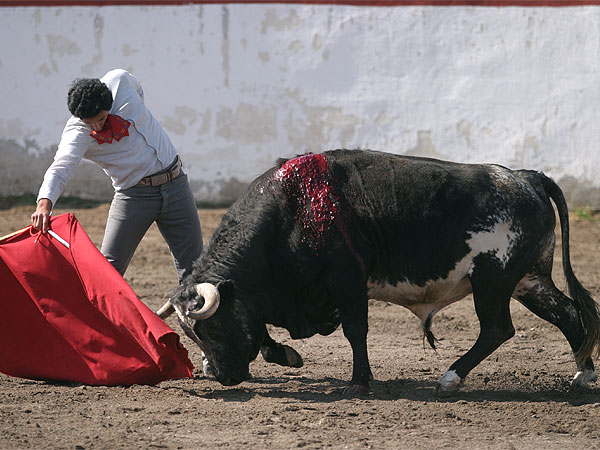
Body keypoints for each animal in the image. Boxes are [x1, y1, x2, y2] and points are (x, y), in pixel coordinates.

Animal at [157, 150, 596, 394]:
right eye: (190, 333)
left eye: (212, 326)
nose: (223, 377)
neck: (292, 214)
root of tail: (525, 177)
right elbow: (262, 334)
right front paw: (287, 355)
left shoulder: (348, 283)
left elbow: (356, 332)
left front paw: (359, 381)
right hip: (529, 280)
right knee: (567, 314)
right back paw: (583, 377)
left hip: (493, 278)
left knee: (497, 329)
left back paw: (450, 378)